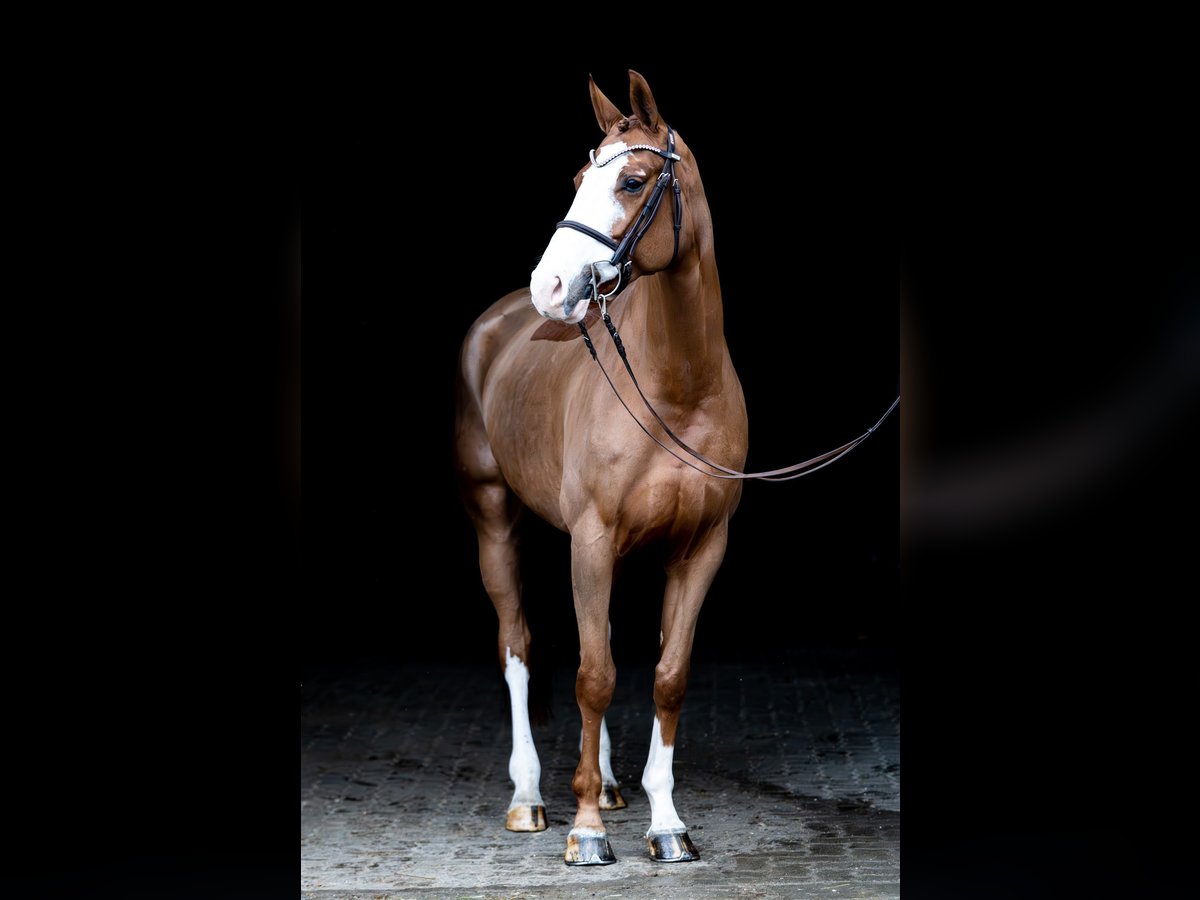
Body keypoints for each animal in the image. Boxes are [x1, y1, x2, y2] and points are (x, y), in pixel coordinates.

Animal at [453, 70, 744, 868]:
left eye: (633, 180)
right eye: (580, 180)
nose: (551, 288)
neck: (678, 389)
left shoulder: (700, 548)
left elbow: (664, 676)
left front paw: (666, 823)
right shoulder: (592, 538)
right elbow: (592, 676)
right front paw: (585, 830)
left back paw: (611, 786)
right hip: (495, 519)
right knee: (518, 646)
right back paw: (530, 797)